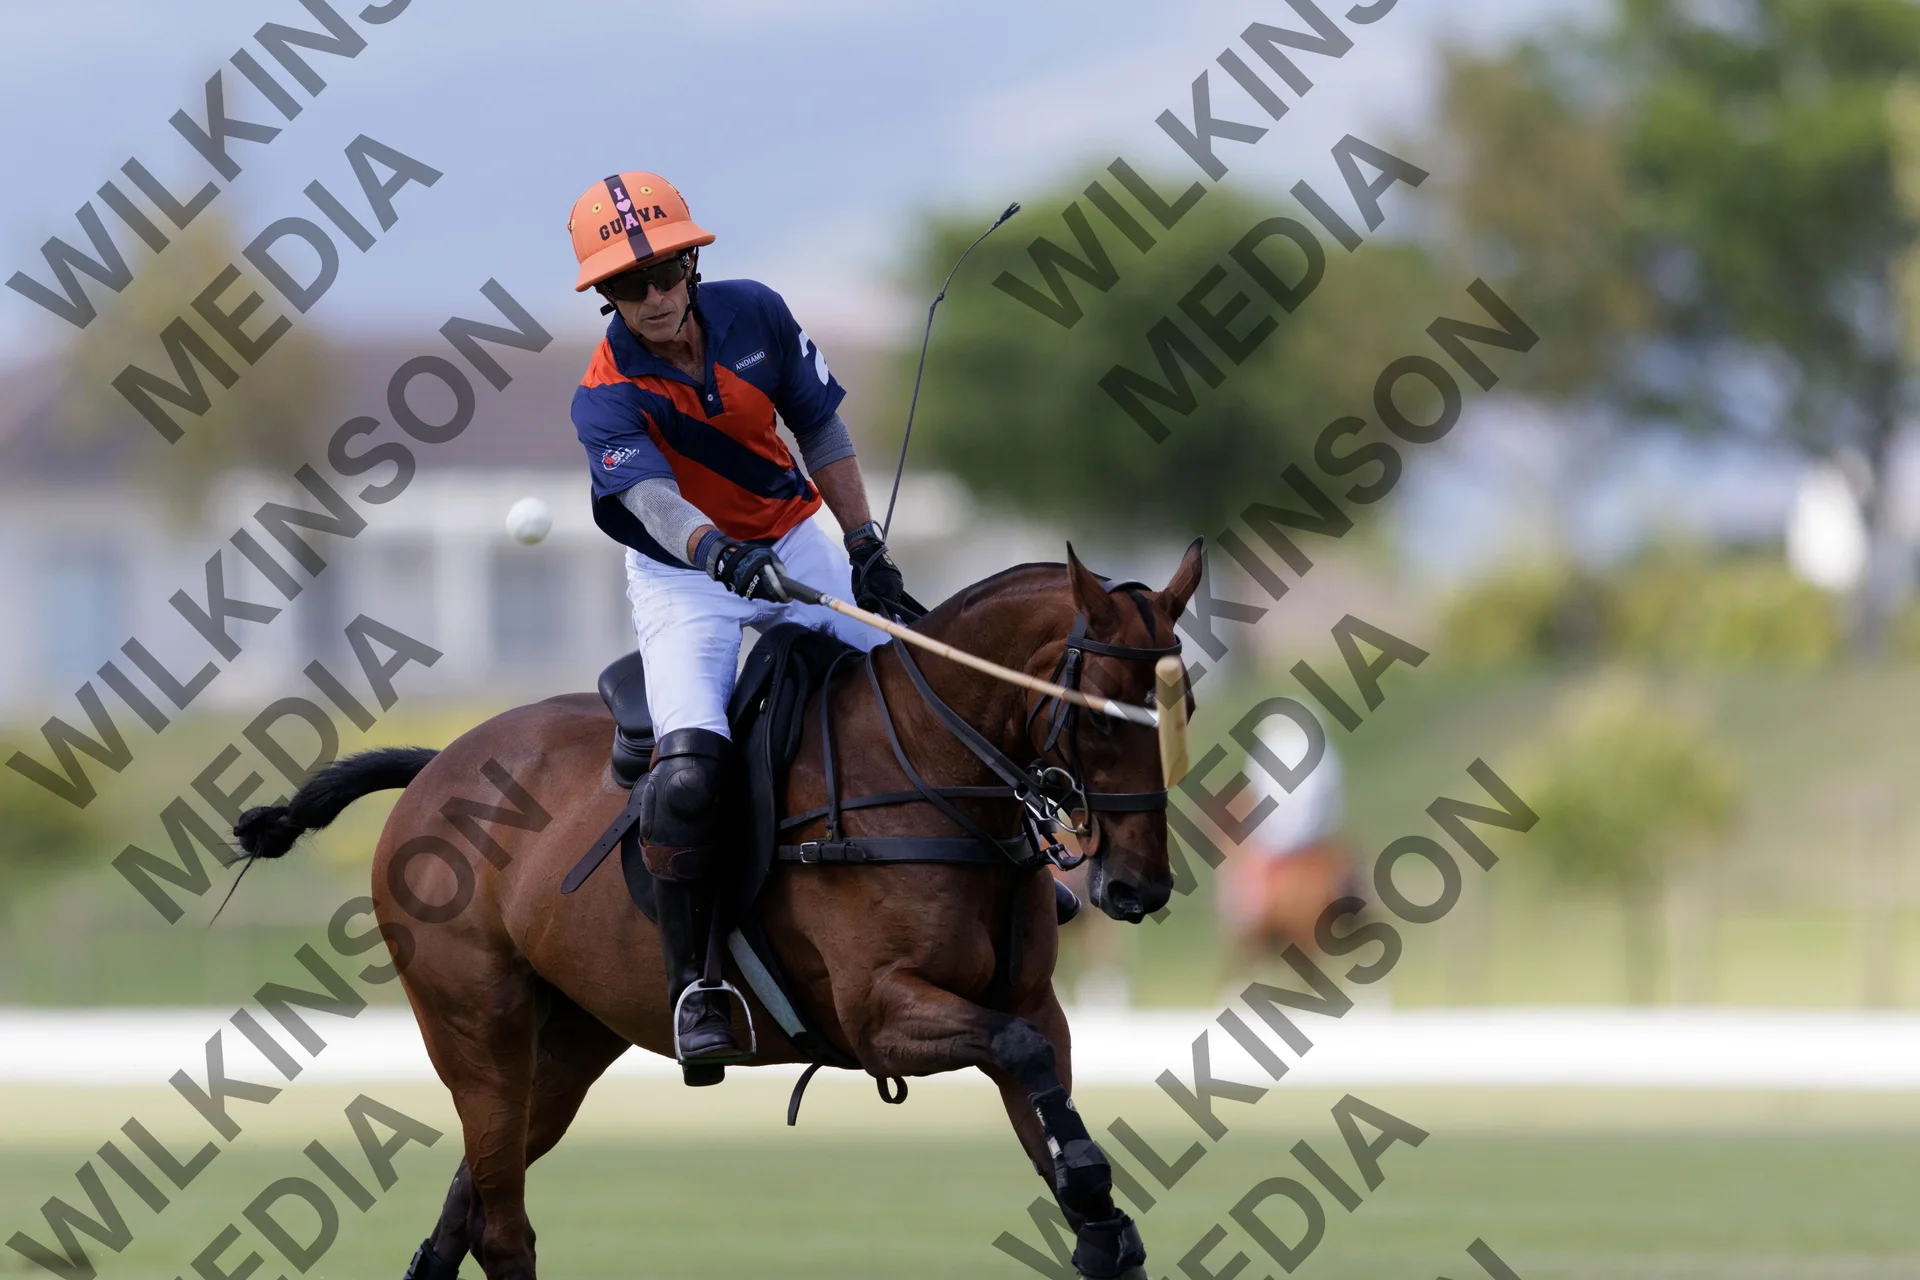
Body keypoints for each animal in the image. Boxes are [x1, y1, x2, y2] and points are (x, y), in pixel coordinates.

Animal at [233, 542, 1203, 1280]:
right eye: (1101, 718)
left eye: (1179, 705)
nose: (1138, 889)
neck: (930, 775)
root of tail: (435, 765)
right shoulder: (881, 1015)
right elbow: (1023, 1056)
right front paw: (1089, 1179)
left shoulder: (1028, 1003)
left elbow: (1053, 1108)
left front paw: (1098, 1215)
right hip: (480, 1034)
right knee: (502, 1229)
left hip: (568, 1047)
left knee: (464, 1212)